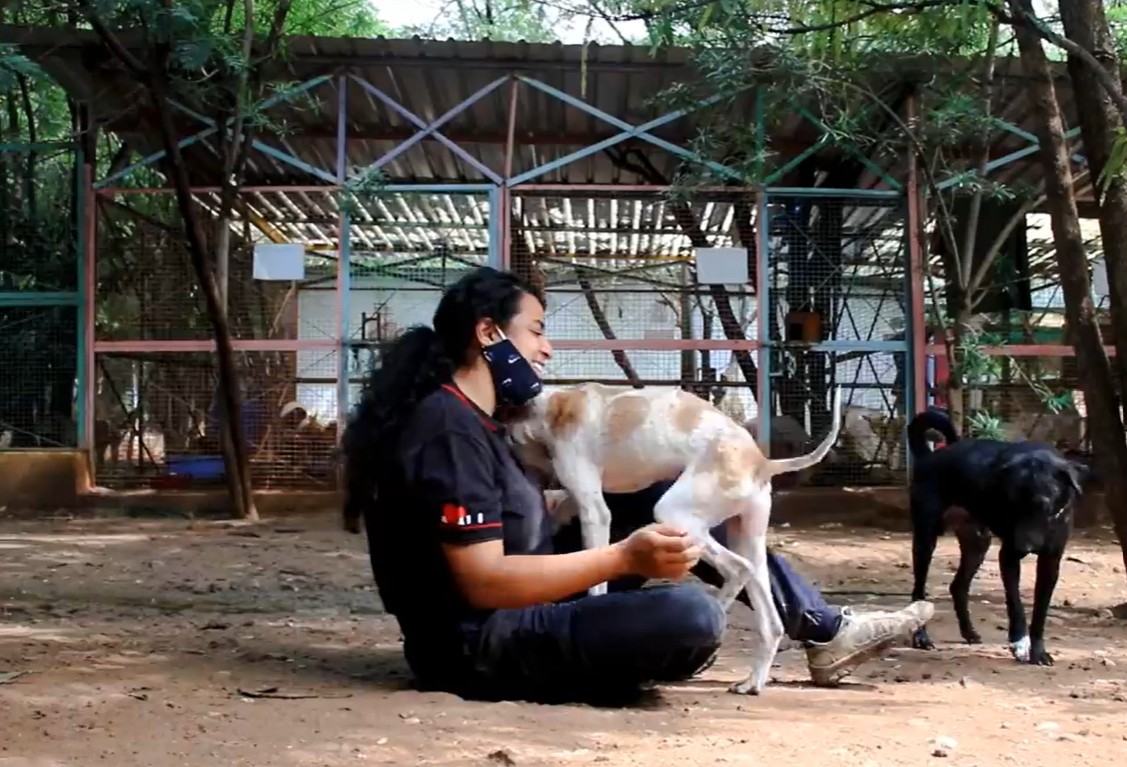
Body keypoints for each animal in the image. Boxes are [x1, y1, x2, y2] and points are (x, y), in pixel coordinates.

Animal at [505, 382, 843, 695]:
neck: (557, 406)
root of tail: (762, 462)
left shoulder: (595, 511)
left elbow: (596, 585)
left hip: (674, 514)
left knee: (738, 569)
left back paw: (719, 610)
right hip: (747, 540)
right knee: (770, 620)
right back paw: (752, 682)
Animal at [906, 408, 1092, 666]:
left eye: (1043, 505)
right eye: (1009, 503)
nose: (1024, 547)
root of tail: (929, 457)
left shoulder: (1050, 562)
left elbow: (1040, 613)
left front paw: (1039, 652)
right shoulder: (1009, 557)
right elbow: (1015, 605)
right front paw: (1019, 643)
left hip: (977, 544)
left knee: (958, 586)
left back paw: (969, 632)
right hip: (926, 538)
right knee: (919, 592)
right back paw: (921, 637)